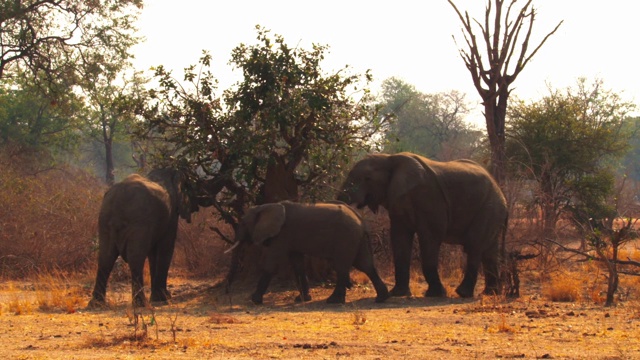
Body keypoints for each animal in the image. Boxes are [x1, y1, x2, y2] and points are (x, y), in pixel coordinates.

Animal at [88, 168, 202, 306]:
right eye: (192, 186)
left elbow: (153, 253)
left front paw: (159, 297)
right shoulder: (170, 216)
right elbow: (166, 248)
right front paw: (163, 298)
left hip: (104, 220)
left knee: (106, 257)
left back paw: (96, 303)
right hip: (139, 222)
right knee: (135, 257)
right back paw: (140, 304)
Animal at [230, 201, 390, 306]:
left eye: (243, 223)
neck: (266, 206)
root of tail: (361, 220)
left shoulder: (281, 235)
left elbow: (271, 264)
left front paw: (255, 300)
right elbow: (298, 265)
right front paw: (302, 299)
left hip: (346, 237)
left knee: (342, 267)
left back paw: (333, 301)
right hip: (356, 238)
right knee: (365, 265)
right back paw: (381, 298)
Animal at [338, 152, 508, 298]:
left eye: (367, 178)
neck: (388, 158)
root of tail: (502, 196)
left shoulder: (428, 197)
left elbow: (431, 236)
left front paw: (436, 294)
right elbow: (399, 238)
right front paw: (398, 294)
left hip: (489, 208)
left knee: (474, 246)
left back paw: (463, 293)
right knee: (489, 252)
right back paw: (490, 293)